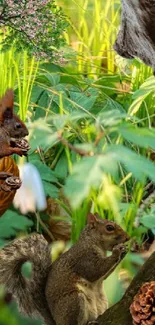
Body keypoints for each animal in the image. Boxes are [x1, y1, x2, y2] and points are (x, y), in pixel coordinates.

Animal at [0, 213, 129, 324]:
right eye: (109, 227)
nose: (127, 238)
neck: (91, 242)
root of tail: (57, 321)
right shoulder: (83, 258)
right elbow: (94, 271)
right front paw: (117, 252)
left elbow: (104, 275)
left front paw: (124, 251)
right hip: (74, 301)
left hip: (101, 301)